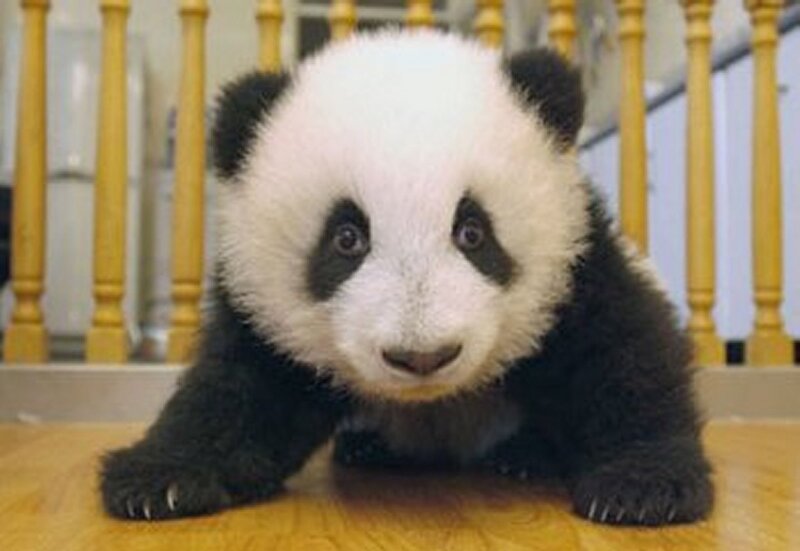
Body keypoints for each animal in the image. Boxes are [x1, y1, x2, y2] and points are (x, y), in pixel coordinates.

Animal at [100, 30, 713, 526]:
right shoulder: (264, 307)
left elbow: (620, 354)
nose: (423, 356)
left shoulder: (575, 263)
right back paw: (372, 447)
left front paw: (643, 486)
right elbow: (238, 387)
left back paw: (525, 454)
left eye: (472, 232)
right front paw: (159, 479)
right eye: (346, 238)